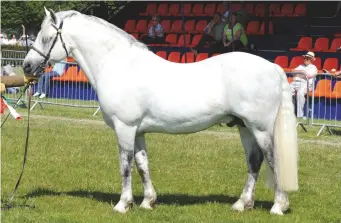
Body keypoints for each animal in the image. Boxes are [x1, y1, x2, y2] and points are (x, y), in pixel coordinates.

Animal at [22, 7, 296, 215]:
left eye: (46, 38)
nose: (26, 66)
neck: (118, 64)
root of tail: (274, 67)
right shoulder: (138, 131)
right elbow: (143, 164)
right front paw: (147, 202)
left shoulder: (124, 128)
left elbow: (125, 165)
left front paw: (123, 204)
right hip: (244, 127)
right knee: (254, 162)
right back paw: (242, 204)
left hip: (260, 129)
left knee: (273, 160)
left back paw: (278, 207)